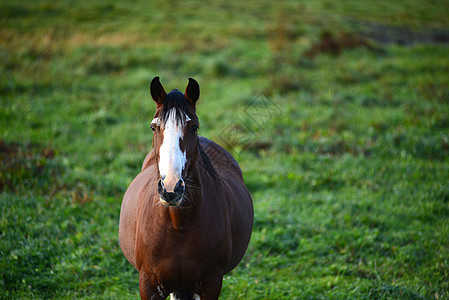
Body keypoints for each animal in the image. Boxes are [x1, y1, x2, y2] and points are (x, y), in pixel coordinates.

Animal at [118, 76, 252, 298]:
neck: (178, 224)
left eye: (194, 127)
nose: (171, 188)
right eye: (154, 127)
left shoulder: (211, 283)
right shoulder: (148, 283)